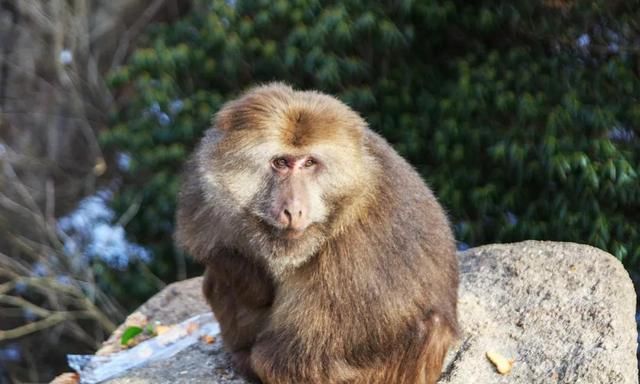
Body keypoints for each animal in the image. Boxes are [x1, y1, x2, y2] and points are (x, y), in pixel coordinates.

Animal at [172, 83, 458, 384]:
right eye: (281, 162)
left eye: (309, 163)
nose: (293, 209)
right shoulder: (202, 194)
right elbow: (217, 252)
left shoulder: (354, 262)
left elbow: (298, 364)